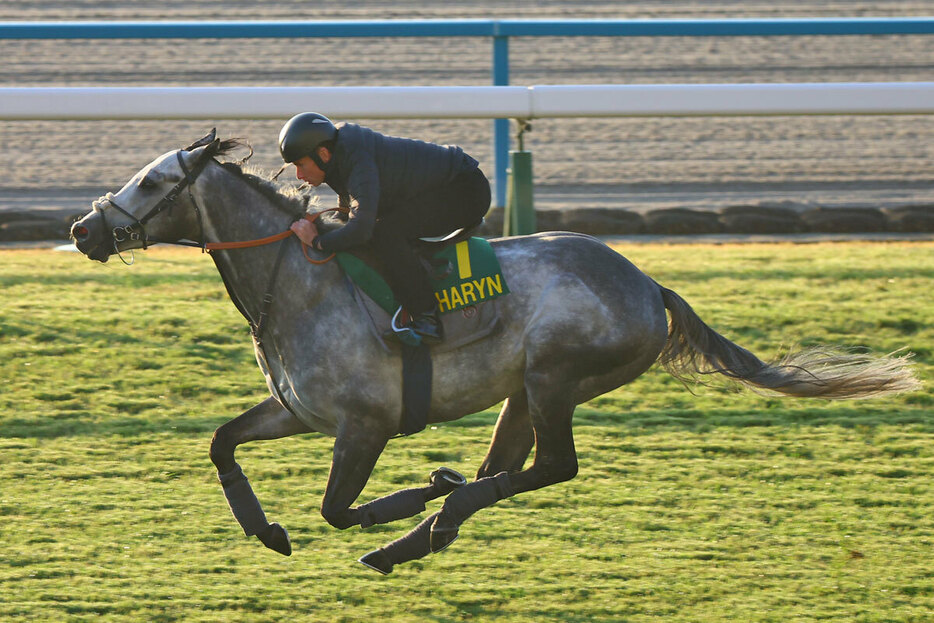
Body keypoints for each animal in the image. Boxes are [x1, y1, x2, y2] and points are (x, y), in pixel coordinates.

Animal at [69, 135, 916, 576]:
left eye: (151, 180)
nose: (83, 228)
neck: (299, 282)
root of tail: (649, 284)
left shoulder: (365, 423)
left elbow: (336, 507)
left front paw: (412, 492)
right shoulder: (298, 411)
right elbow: (222, 442)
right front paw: (265, 529)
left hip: (554, 377)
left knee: (549, 468)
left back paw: (427, 518)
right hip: (521, 392)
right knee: (506, 467)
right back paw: (423, 531)